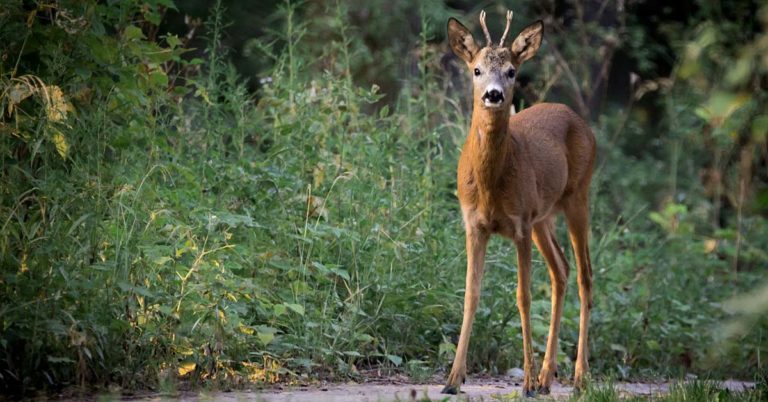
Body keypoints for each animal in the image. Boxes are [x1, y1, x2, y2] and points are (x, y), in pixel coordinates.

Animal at [441, 10, 596, 397]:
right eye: (476, 70)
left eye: (511, 71)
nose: (494, 95)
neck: (490, 186)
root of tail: (580, 120)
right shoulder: (474, 224)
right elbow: (471, 294)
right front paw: (453, 379)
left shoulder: (520, 223)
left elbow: (523, 297)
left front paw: (524, 382)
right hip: (544, 217)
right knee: (561, 270)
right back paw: (546, 377)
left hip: (578, 196)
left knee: (585, 275)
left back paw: (578, 376)